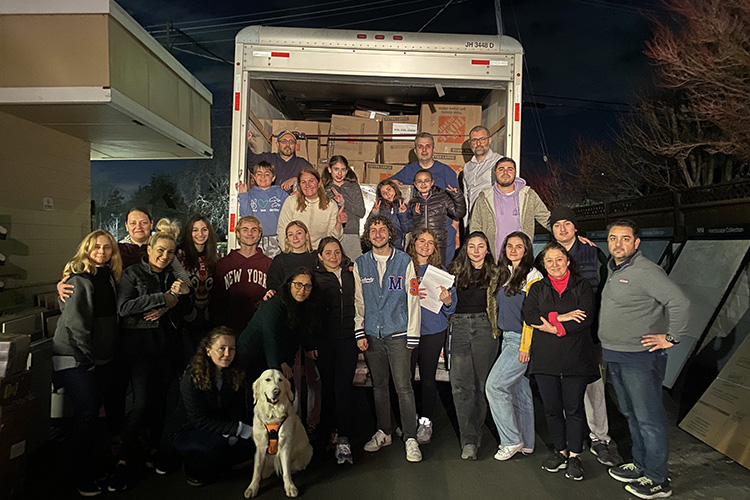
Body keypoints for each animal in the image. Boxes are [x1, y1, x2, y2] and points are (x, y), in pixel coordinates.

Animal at [245, 368, 312, 496]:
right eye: (267, 379)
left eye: (280, 380)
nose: (277, 391)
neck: (272, 414)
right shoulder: (260, 447)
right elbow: (257, 470)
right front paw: (252, 487)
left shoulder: (284, 445)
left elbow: (286, 471)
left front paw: (290, 487)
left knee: (294, 466)